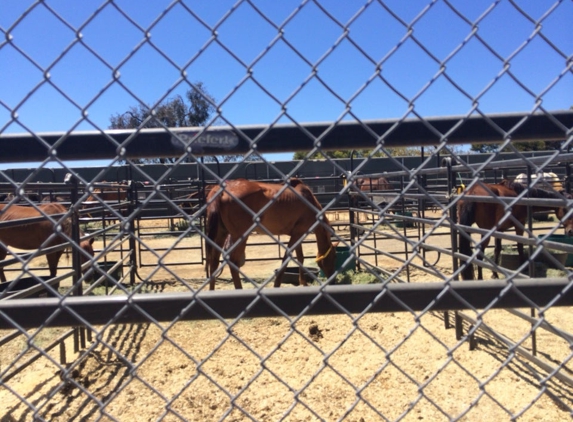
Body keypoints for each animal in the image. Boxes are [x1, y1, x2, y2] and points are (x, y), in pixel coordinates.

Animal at [204, 178, 336, 290]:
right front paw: (277, 284)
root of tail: (222, 190)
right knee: (233, 262)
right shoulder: (298, 234)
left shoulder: (298, 234)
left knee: (214, 262)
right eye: (333, 256)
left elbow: (300, 258)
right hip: (240, 236)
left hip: (221, 234)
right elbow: (287, 258)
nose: (333, 280)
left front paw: (303, 282)